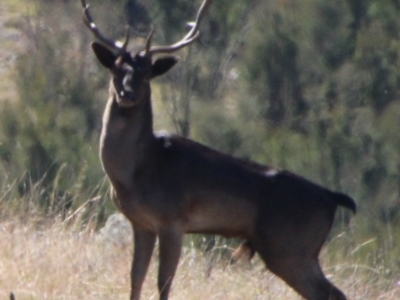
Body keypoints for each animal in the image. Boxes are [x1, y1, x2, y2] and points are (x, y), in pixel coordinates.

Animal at [81, 1, 356, 298]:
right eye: (117, 69)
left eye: (147, 73)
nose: (127, 95)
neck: (137, 170)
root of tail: (331, 198)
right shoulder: (142, 223)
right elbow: (136, 278)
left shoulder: (172, 220)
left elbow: (164, 281)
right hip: (296, 250)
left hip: (289, 246)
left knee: (331, 292)